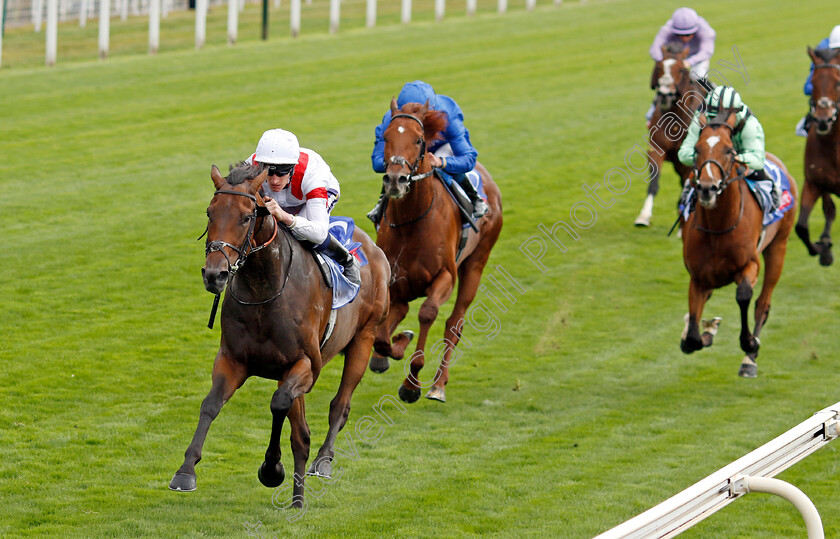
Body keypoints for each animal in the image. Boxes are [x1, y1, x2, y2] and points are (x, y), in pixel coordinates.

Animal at [171, 165, 394, 506]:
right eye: (210, 212)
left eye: (247, 217)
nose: (214, 274)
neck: (264, 292)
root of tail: (373, 246)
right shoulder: (233, 360)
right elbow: (210, 405)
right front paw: (185, 472)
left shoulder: (306, 365)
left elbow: (279, 406)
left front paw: (272, 468)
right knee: (301, 429)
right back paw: (298, 496)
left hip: (363, 339)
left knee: (339, 406)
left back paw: (322, 462)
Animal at [370, 100, 502, 404]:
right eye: (386, 137)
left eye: (419, 139)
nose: (395, 180)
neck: (412, 222)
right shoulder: (393, 280)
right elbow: (383, 337)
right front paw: (395, 345)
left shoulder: (445, 276)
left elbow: (428, 314)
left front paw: (411, 385)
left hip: (475, 263)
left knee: (454, 324)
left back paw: (438, 385)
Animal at [636, 42, 708, 226]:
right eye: (659, 66)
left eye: (681, 69)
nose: (665, 94)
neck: (675, 121)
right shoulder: (656, 149)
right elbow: (654, 183)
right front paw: (644, 216)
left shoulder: (689, 158)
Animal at [680, 109, 796, 380]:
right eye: (697, 149)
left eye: (729, 150)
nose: (707, 188)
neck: (717, 228)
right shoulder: (698, 278)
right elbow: (693, 338)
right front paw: (705, 330)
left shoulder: (749, 265)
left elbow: (744, 295)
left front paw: (749, 342)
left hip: (779, 246)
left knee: (763, 303)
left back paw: (749, 360)